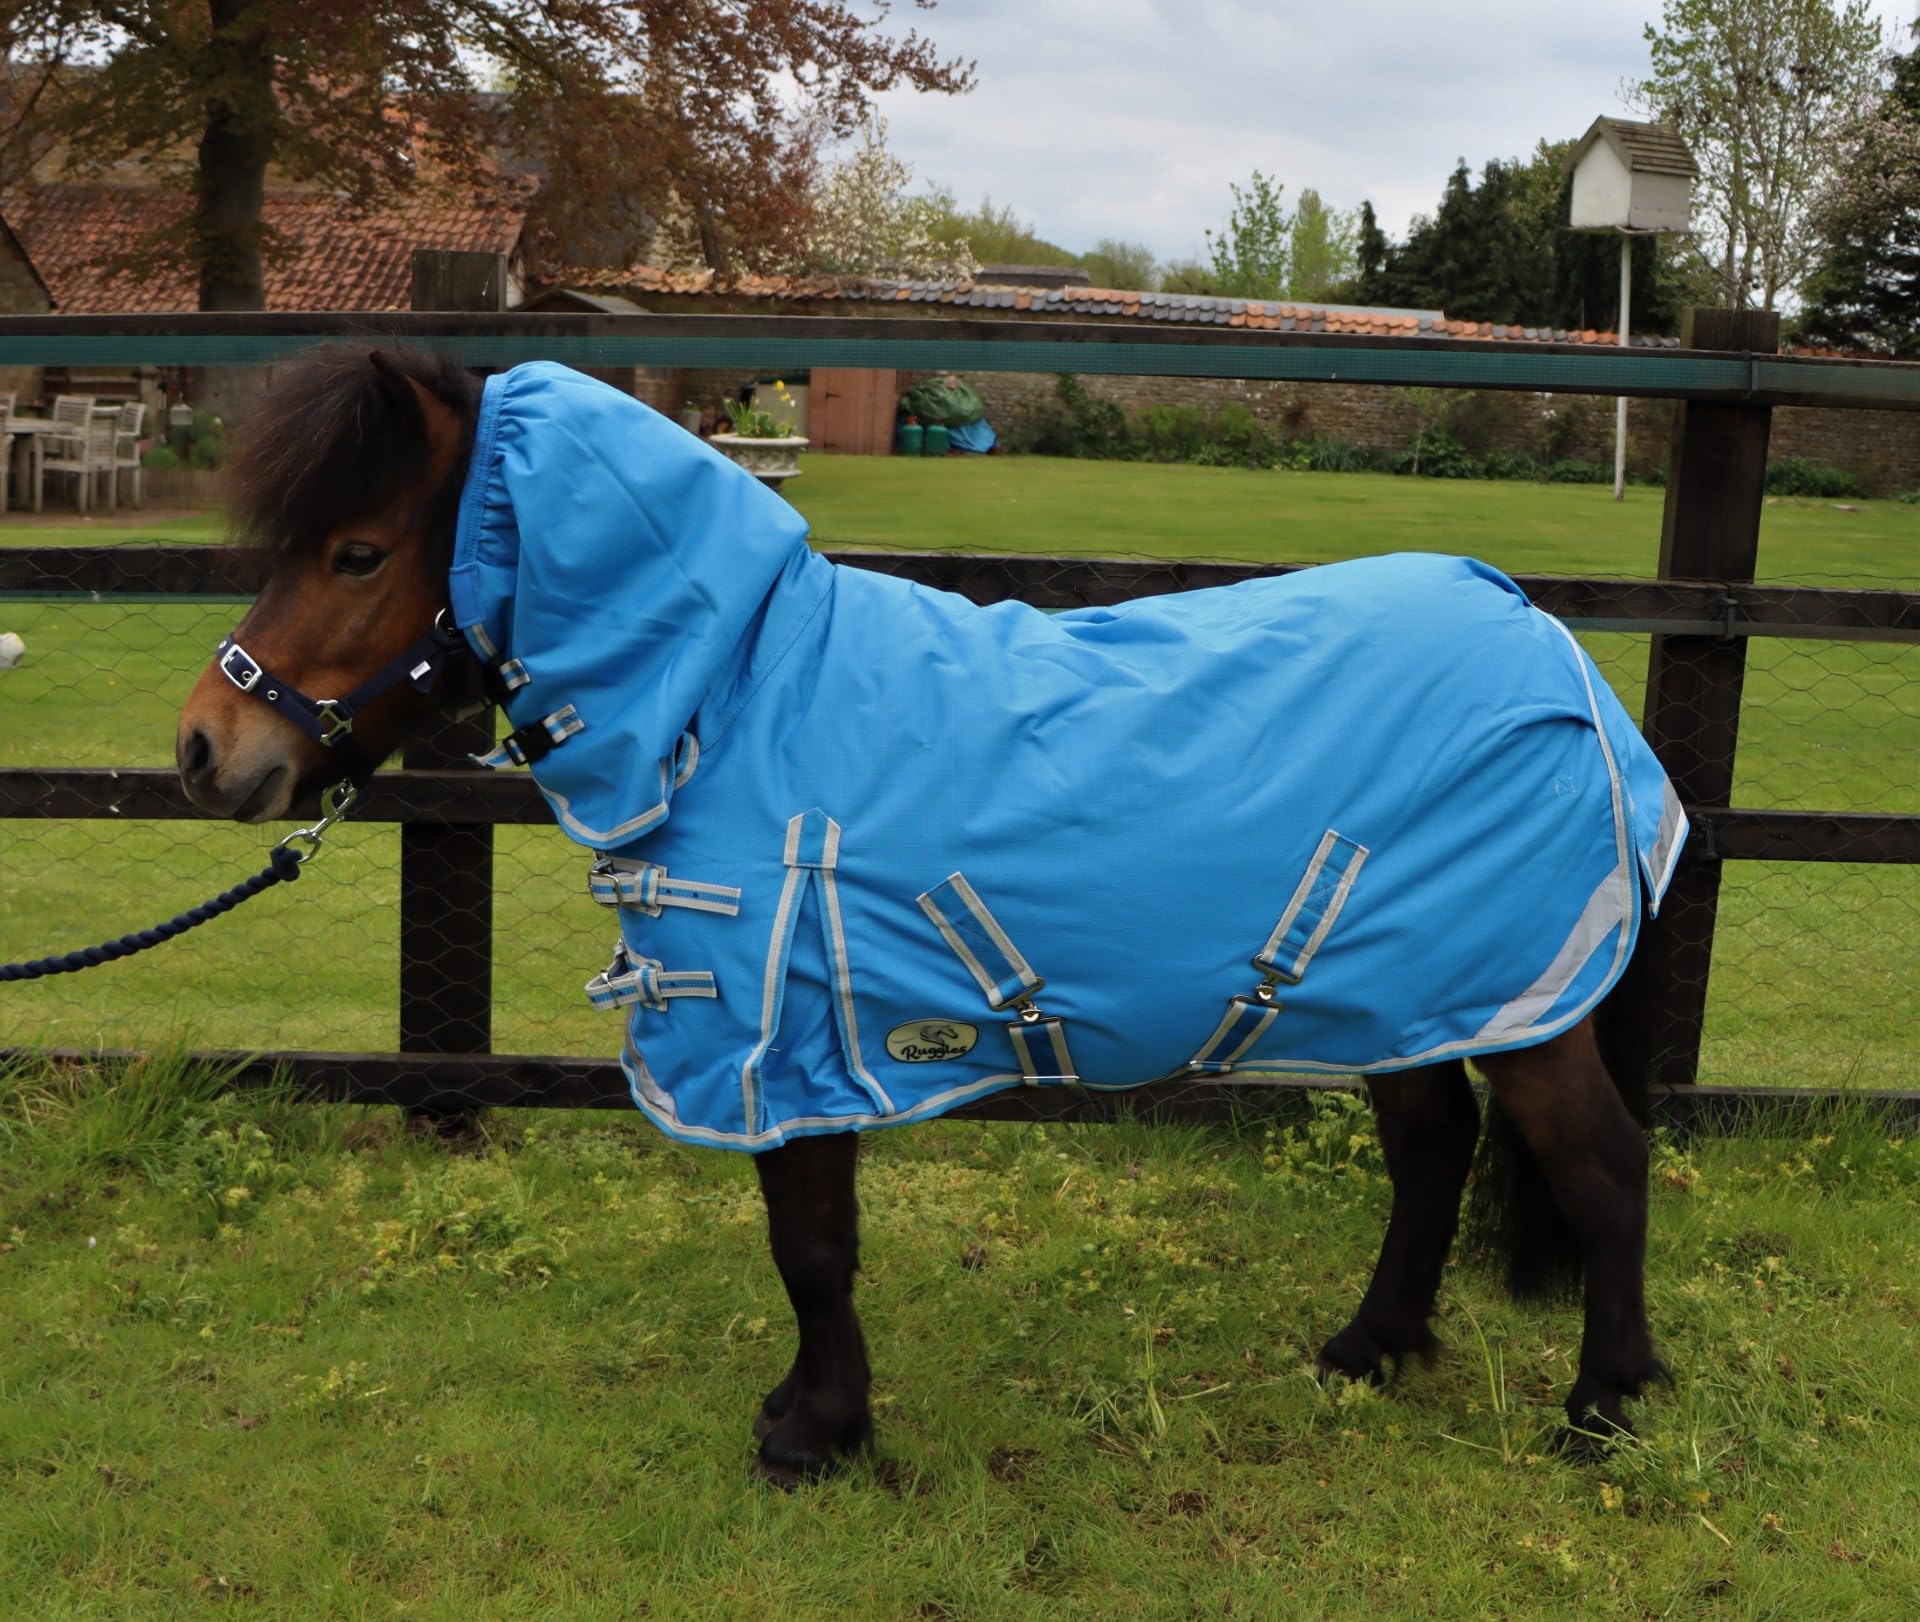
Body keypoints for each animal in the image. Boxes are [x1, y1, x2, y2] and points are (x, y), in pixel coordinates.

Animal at [177, 347, 1675, 1484]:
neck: (731, 694)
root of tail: (1543, 635)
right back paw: (1369, 1352)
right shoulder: (799, 1044)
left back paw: (1603, 1407)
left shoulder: (778, 1037)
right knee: (1432, 1151)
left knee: (1603, 1166)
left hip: (1517, 998)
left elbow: (811, 1243)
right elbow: (808, 1241)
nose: (204, 749)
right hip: (1409, 992)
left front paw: (815, 1436)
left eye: (357, 550)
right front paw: (808, 1412)